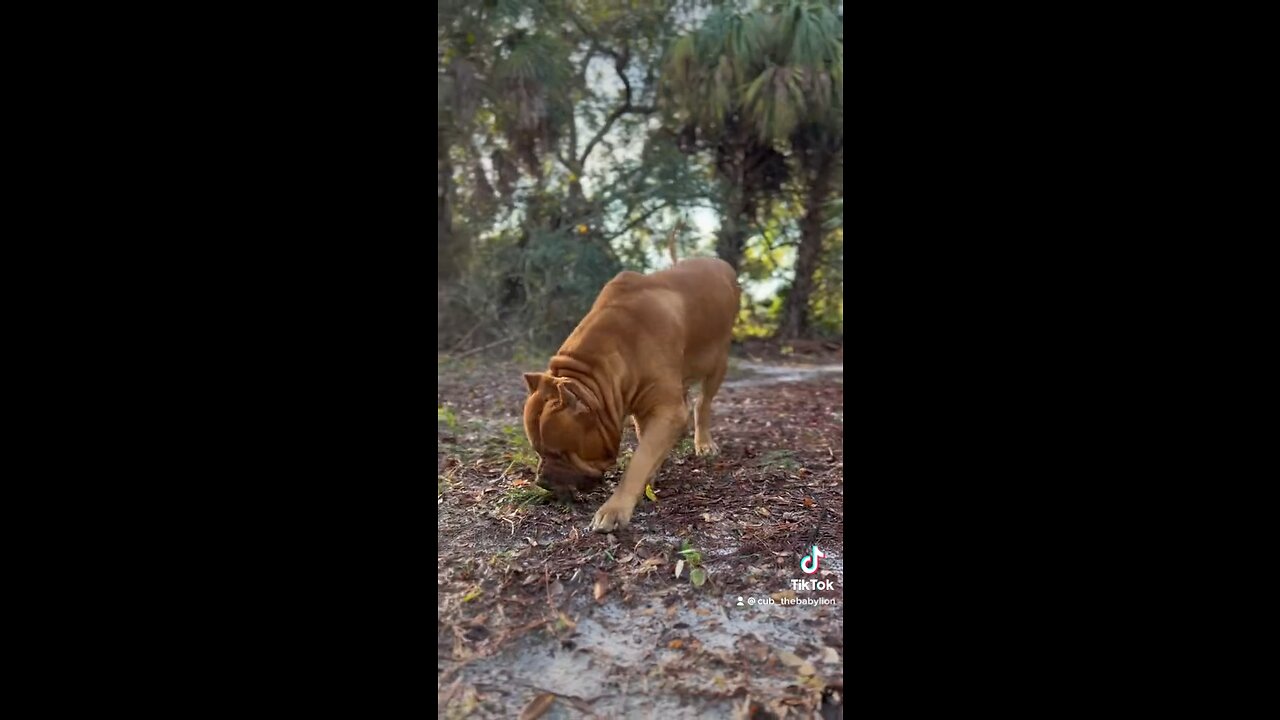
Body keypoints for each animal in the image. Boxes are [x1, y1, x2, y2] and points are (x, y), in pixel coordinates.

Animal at [522, 256, 742, 527]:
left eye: (559, 453)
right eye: (537, 450)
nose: (542, 482)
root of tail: (721, 263)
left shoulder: (665, 409)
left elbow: (640, 459)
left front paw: (615, 508)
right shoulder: (644, 406)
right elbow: (646, 441)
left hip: (717, 362)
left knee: (703, 402)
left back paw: (704, 443)